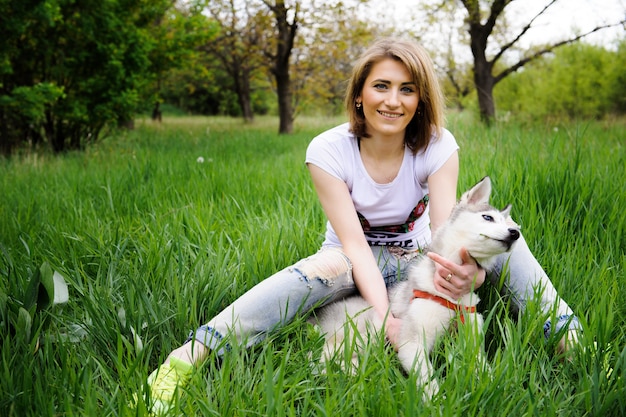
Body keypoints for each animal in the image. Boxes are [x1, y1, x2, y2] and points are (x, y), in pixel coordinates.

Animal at [310, 176, 520, 396]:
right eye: (488, 218)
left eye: (506, 222)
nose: (515, 232)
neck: (452, 298)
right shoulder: (412, 342)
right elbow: (428, 380)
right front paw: (436, 399)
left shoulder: (471, 336)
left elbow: (483, 368)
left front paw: (498, 389)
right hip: (364, 329)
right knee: (319, 360)